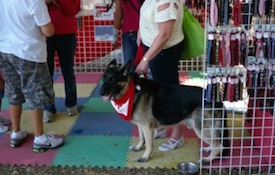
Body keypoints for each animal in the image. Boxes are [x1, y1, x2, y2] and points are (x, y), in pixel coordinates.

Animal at [100, 59, 230, 163]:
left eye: (112, 80)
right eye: (104, 78)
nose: (100, 93)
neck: (132, 90)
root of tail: (217, 100)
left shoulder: (146, 126)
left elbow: (149, 144)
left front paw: (145, 157)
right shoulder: (141, 125)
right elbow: (142, 138)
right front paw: (138, 147)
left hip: (200, 128)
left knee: (219, 146)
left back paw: (207, 160)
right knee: (217, 143)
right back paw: (208, 149)